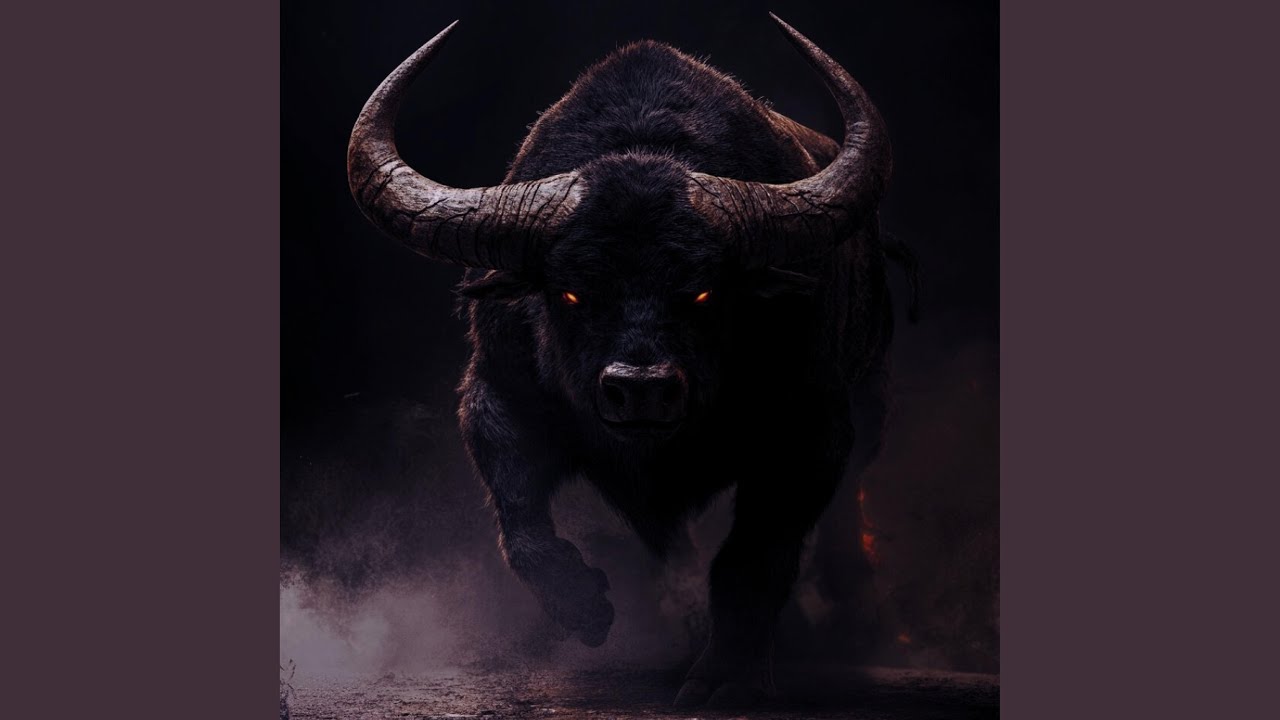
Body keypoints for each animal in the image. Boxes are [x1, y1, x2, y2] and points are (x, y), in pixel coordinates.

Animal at [347, 14, 913, 708]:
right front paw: (585, 608)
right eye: (570, 292)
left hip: (873, 397)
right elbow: (522, 527)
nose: (640, 389)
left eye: (703, 292)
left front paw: (728, 678)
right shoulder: (498, 397)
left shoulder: (812, 427)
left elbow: (754, 556)